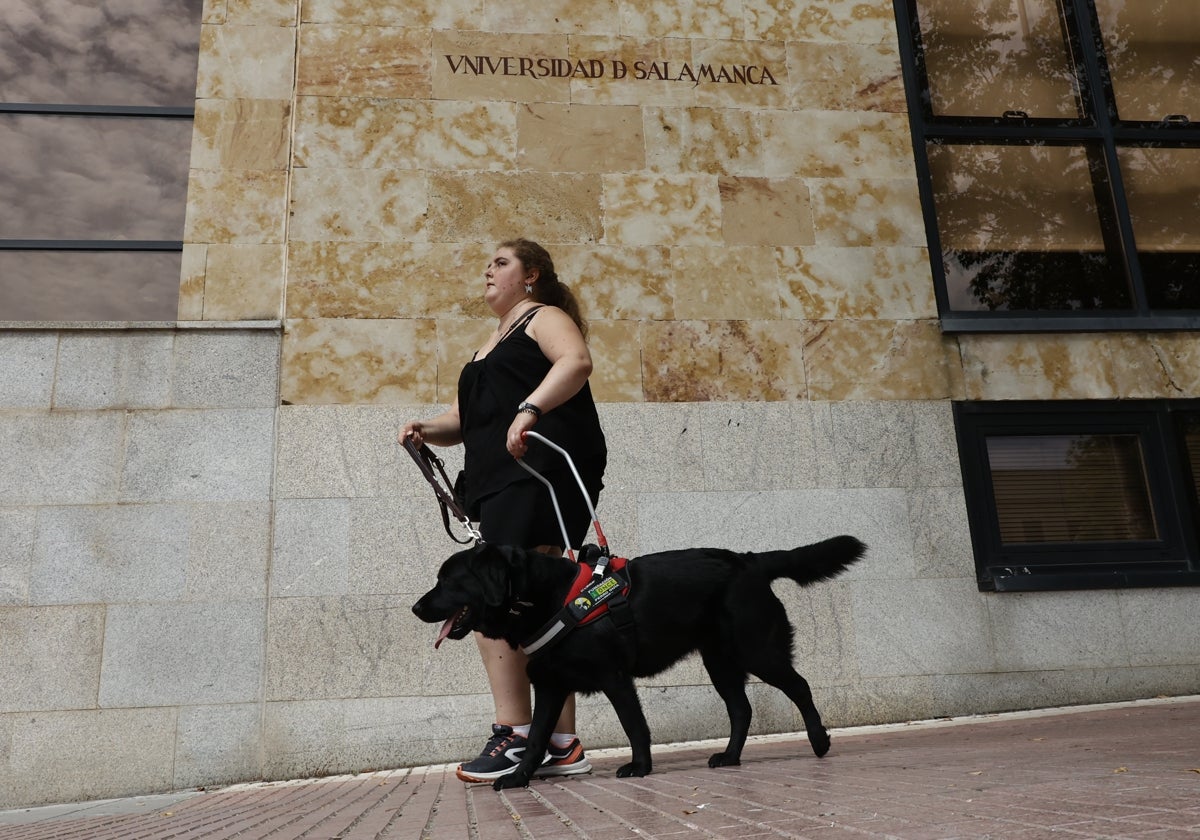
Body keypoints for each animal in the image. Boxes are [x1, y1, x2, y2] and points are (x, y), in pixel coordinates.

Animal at [412, 537, 864, 787]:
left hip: (756, 650)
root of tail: (750, 560)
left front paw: (641, 767)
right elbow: (537, 736)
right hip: (720, 662)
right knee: (741, 709)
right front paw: (519, 778)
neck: (546, 598)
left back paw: (819, 741)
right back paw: (730, 757)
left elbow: (634, 726)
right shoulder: (551, 684)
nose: (416, 607)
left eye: (447, 581)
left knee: (799, 686)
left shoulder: (615, 678)